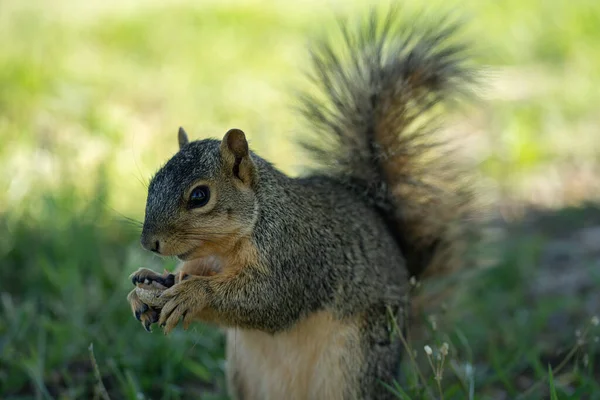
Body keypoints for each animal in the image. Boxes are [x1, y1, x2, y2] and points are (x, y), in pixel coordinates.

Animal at [125, 7, 478, 400]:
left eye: (200, 196)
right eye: (153, 182)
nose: (149, 243)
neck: (230, 245)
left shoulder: (298, 258)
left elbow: (270, 301)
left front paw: (191, 293)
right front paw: (146, 285)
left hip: (352, 367)